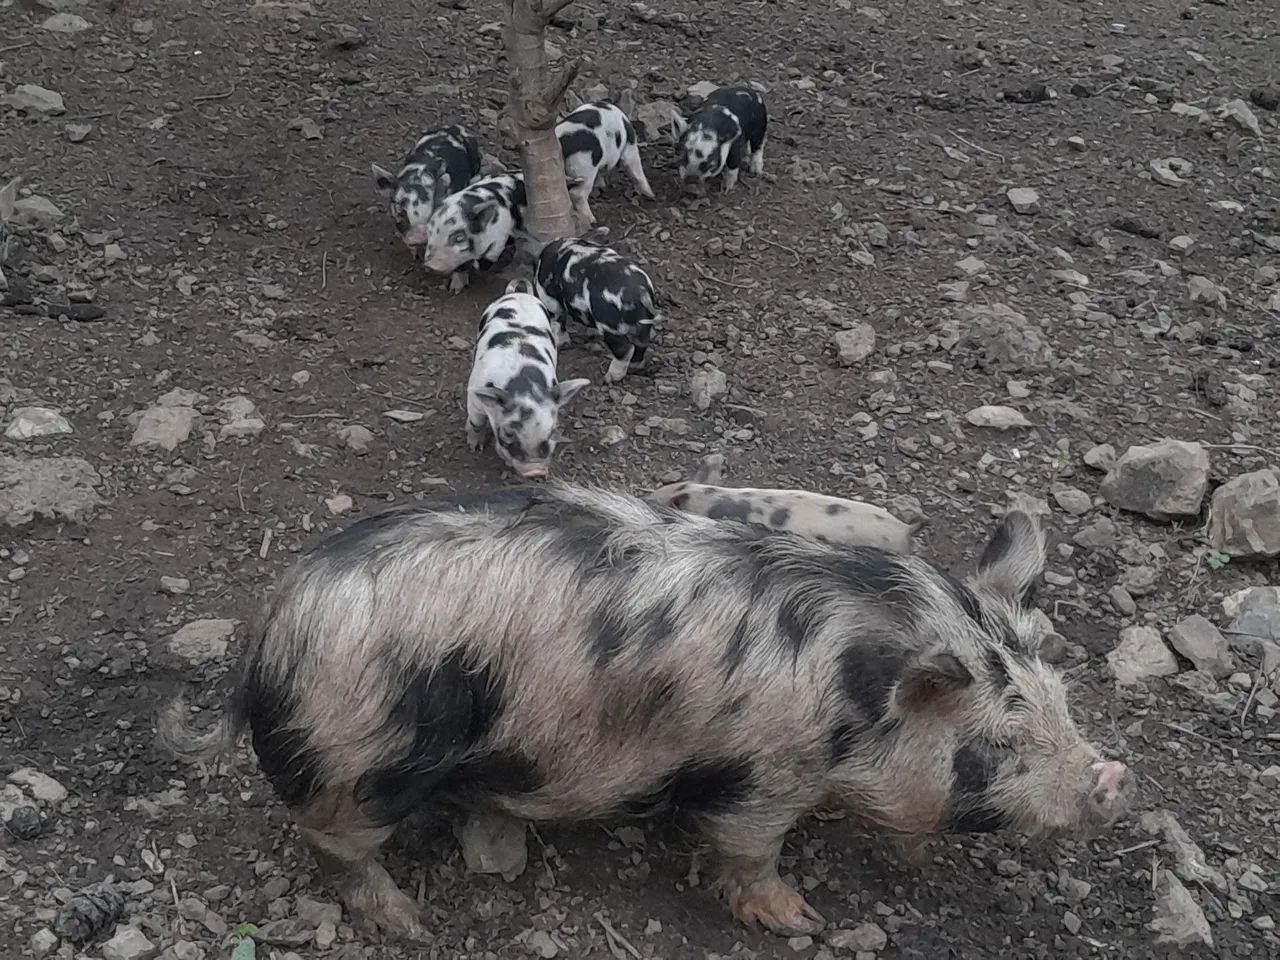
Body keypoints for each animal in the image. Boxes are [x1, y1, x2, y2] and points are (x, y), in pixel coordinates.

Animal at [465, 279, 590, 478]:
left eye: (552, 431)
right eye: (508, 433)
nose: (535, 471)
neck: (524, 384)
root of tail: (519, 294)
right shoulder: (474, 396)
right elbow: (476, 422)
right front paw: (474, 447)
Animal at [534, 237, 658, 383]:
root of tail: (640, 292)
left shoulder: (550, 300)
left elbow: (557, 321)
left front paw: (560, 344)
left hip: (609, 323)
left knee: (625, 348)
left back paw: (609, 378)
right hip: (643, 323)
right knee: (641, 342)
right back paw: (635, 366)